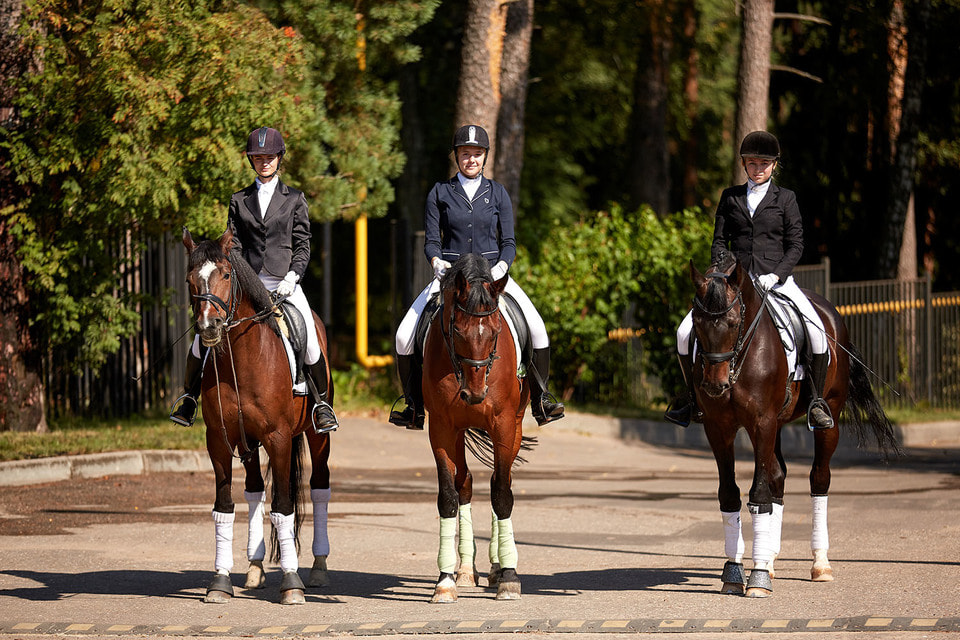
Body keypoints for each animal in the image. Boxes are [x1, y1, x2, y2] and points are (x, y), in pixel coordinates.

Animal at [183, 229, 334, 604]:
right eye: (191, 278)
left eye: (225, 274)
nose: (209, 327)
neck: (241, 357)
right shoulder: (219, 440)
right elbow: (224, 508)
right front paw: (219, 581)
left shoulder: (278, 438)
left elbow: (283, 507)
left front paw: (292, 582)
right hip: (246, 443)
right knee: (253, 491)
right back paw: (254, 567)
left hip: (317, 437)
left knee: (319, 488)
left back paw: (318, 567)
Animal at [424, 252, 536, 604]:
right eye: (458, 330)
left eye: (496, 330)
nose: (475, 395)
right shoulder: (441, 428)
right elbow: (448, 495)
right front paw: (445, 580)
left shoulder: (503, 424)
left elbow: (501, 492)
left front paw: (509, 577)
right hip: (458, 431)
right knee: (466, 483)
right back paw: (464, 569)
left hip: (514, 427)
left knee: (502, 480)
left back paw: (498, 566)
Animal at [688, 256, 900, 600]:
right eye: (696, 322)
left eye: (733, 323)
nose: (714, 386)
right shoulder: (720, 428)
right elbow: (730, 494)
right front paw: (736, 571)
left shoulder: (762, 423)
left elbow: (759, 494)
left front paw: (758, 578)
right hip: (776, 425)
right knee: (778, 478)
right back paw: (770, 558)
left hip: (827, 419)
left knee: (819, 479)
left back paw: (820, 564)